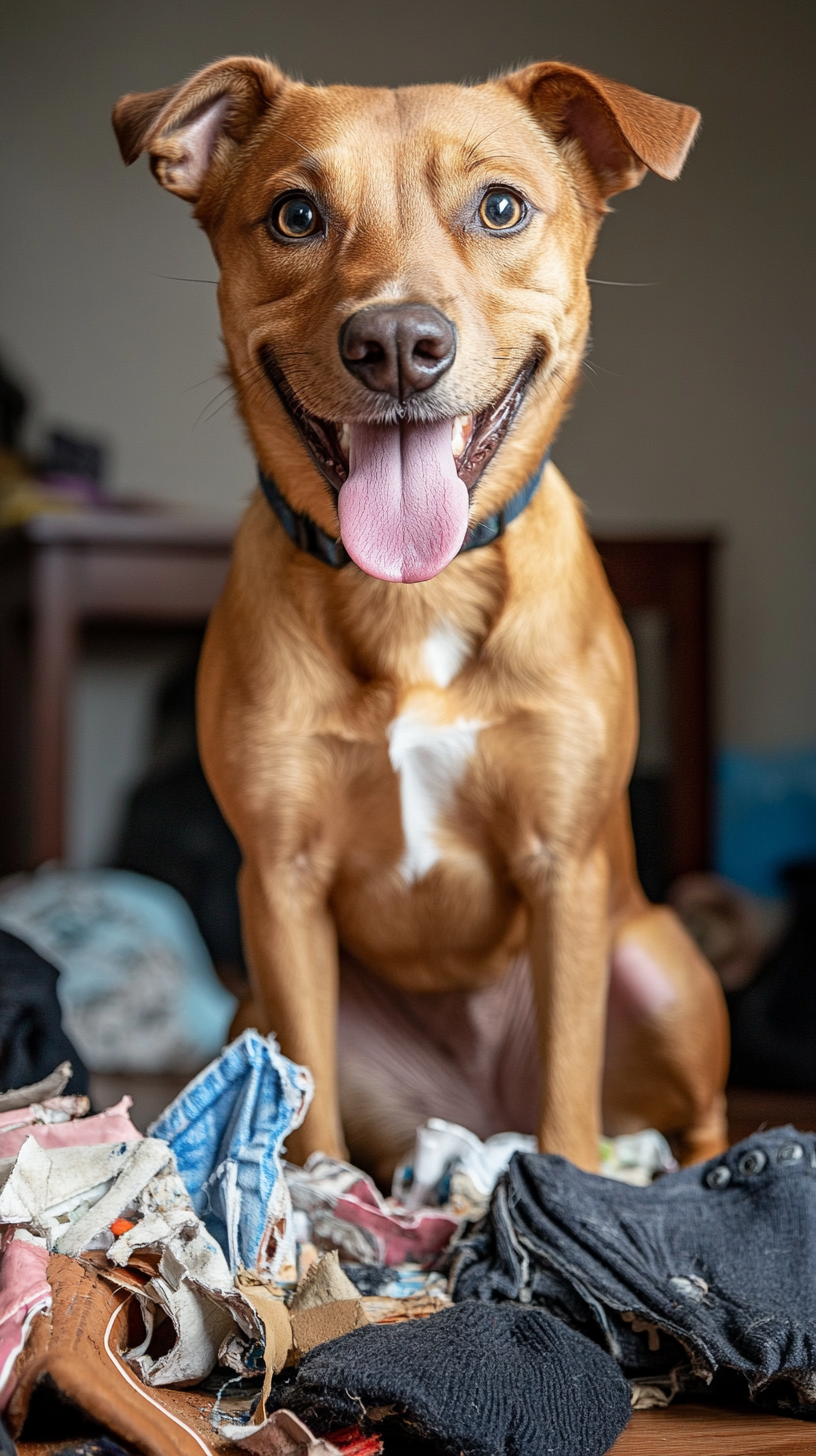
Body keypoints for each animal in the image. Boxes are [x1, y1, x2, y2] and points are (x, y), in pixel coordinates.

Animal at [112, 56, 725, 1176]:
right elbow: (301, 1112)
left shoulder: (563, 872)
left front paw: (567, 1192)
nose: (397, 343)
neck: (413, 595)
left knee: (683, 1117)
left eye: (501, 207)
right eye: (297, 214)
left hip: (661, 972)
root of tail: (478, 1114)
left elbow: (567, 1099)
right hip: (254, 1010)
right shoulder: (282, 888)